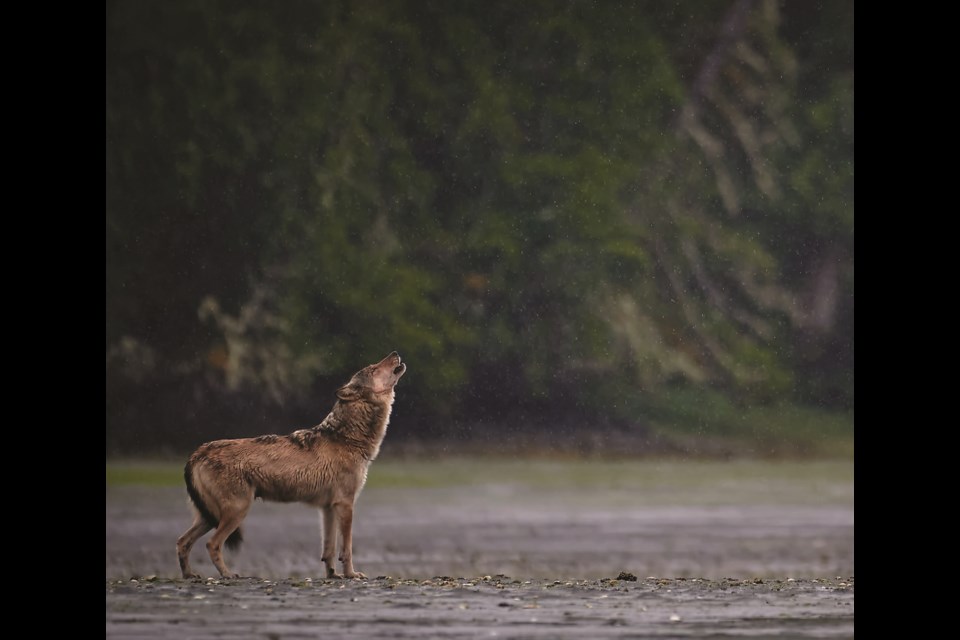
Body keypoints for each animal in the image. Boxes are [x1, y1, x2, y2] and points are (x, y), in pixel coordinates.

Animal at [176, 350, 404, 580]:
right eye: (373, 369)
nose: (394, 353)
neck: (346, 437)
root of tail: (197, 453)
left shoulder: (328, 508)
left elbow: (328, 550)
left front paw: (332, 575)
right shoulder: (346, 504)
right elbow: (346, 548)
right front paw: (351, 575)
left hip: (210, 516)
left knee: (182, 542)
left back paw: (190, 575)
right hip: (236, 512)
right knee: (211, 544)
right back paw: (228, 575)